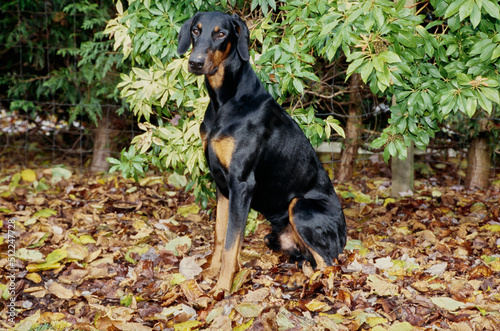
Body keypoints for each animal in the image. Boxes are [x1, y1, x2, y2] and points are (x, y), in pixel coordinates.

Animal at [178, 11, 346, 294]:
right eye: (195, 30)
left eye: (221, 33)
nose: (195, 62)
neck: (225, 101)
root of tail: (345, 238)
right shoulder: (221, 185)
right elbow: (219, 236)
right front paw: (211, 274)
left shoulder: (241, 184)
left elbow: (231, 244)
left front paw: (222, 287)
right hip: (274, 237)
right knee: (308, 259)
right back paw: (296, 278)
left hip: (300, 206)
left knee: (328, 263)